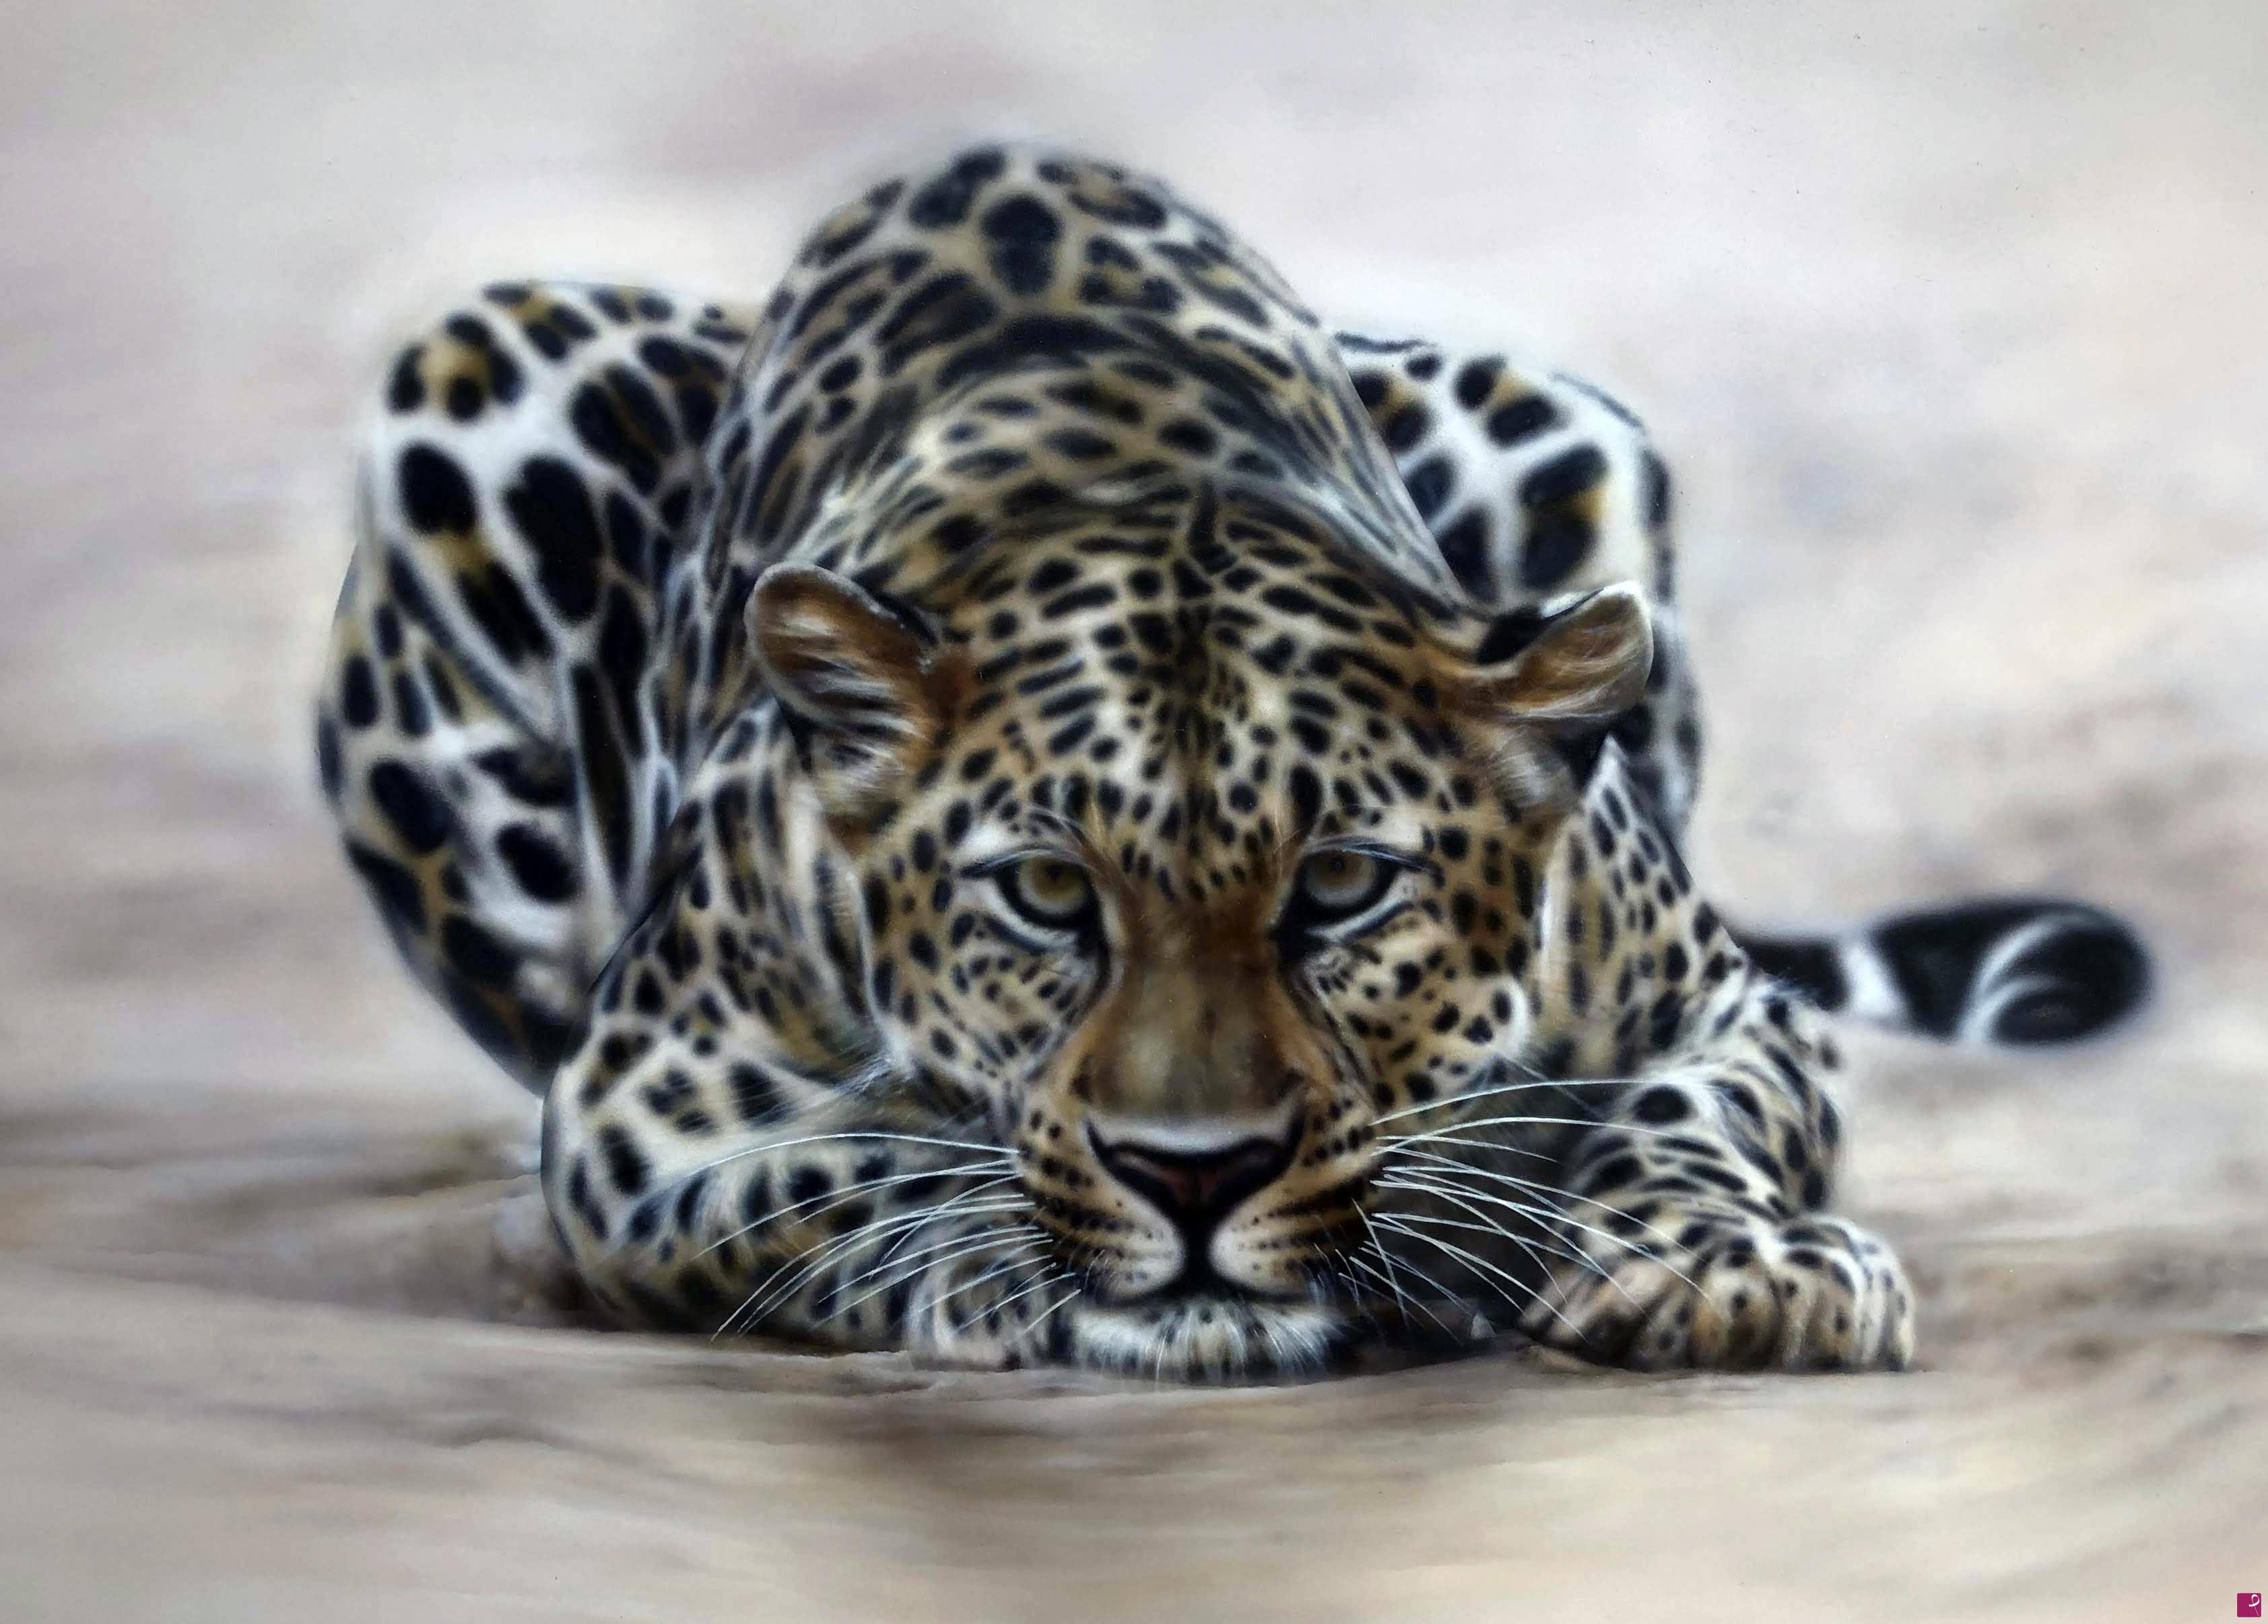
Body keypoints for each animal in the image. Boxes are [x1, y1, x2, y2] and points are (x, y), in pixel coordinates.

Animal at [317, 141, 2149, 1379]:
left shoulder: (1720, 1005)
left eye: (1340, 887)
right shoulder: (643, 1105)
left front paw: (1723, 1264)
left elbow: (1694, 1113)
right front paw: (999, 1256)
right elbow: (836, 1167)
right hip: (474, 387)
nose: (1193, 1178)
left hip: (1568, 431)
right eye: (1045, 895)